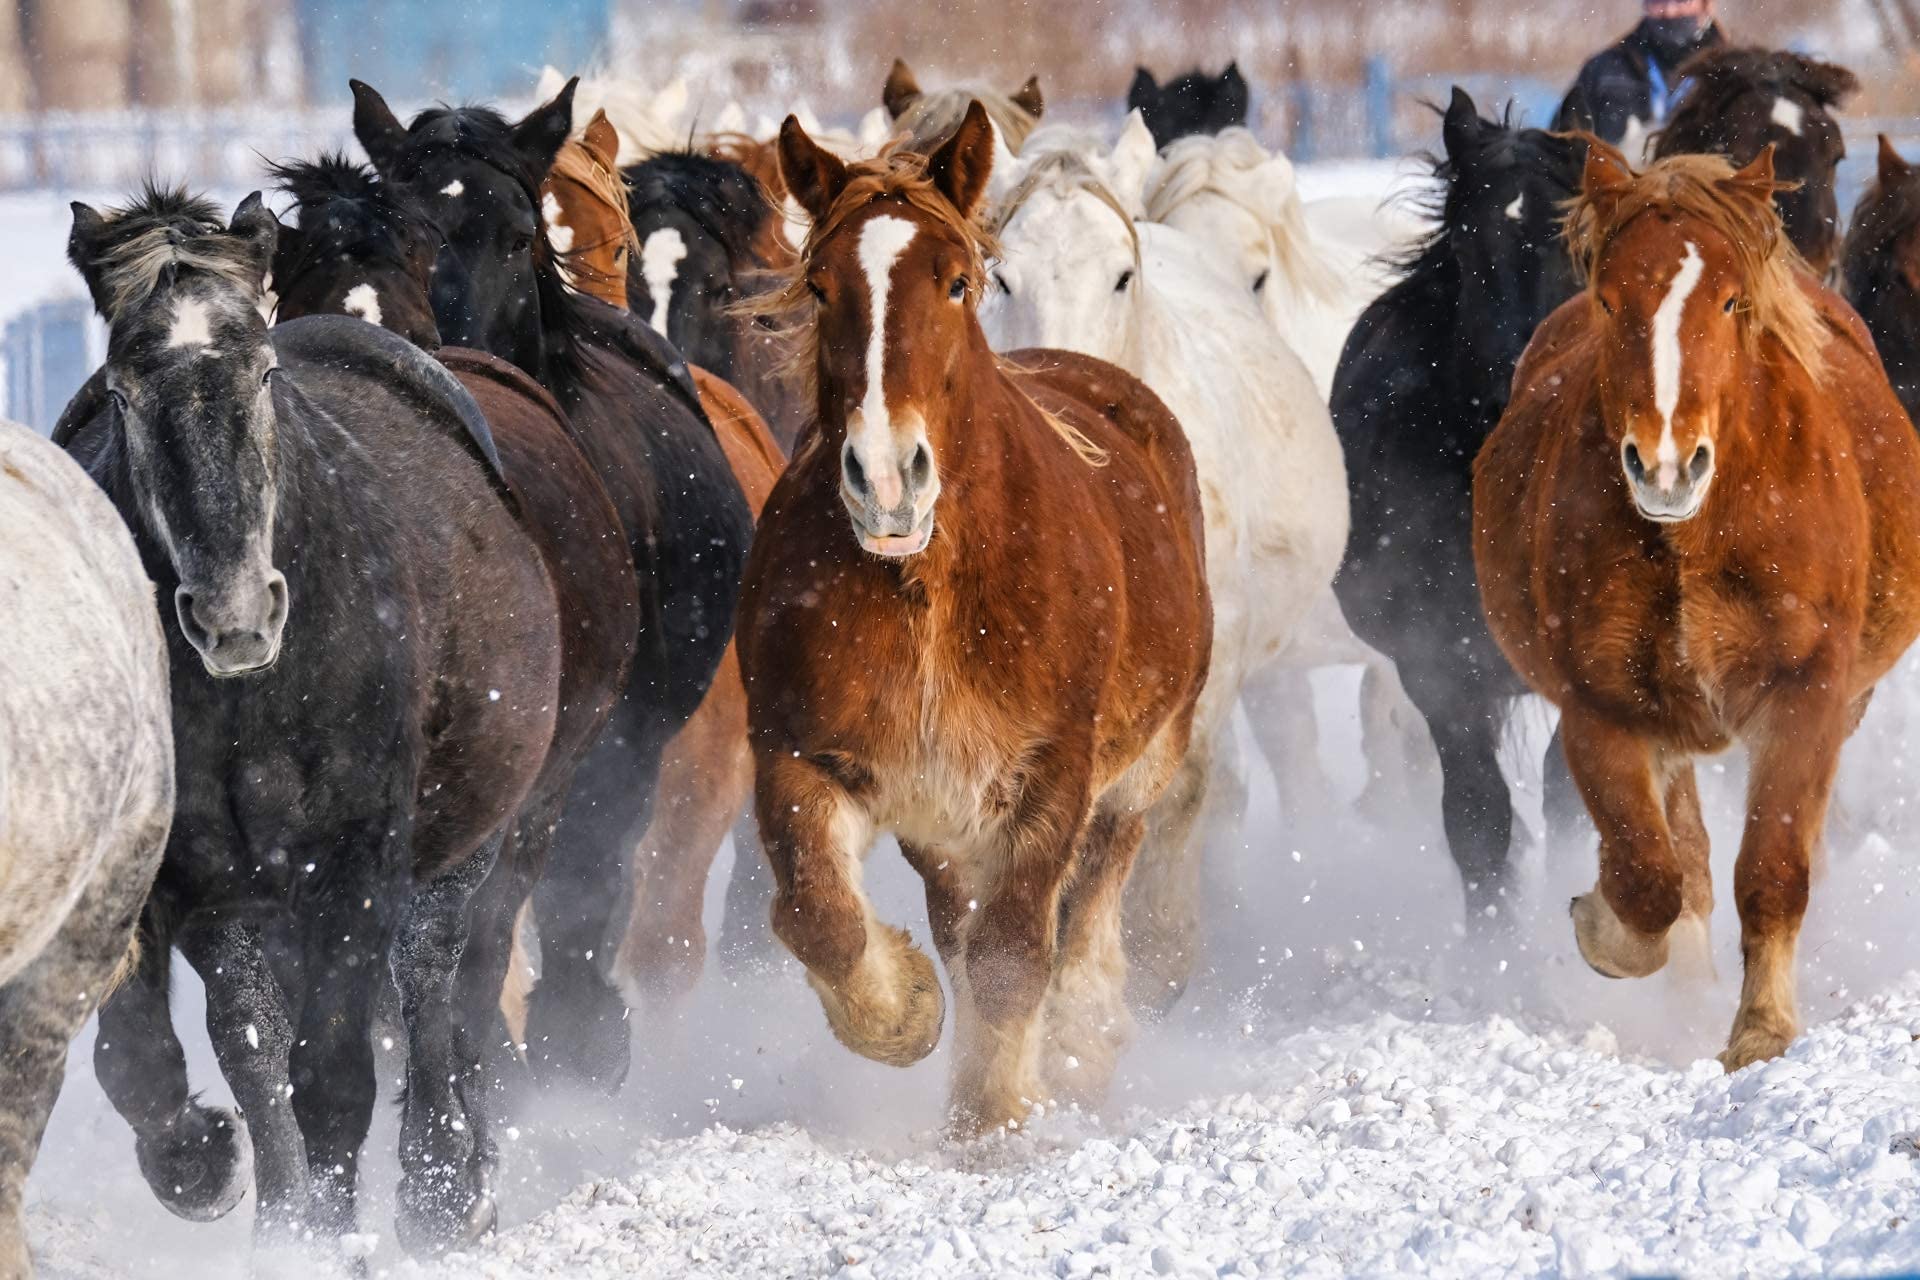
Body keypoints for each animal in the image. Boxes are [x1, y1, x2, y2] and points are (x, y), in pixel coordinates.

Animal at [59, 188, 563, 1257]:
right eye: (122, 393)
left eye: (261, 372)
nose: (235, 615)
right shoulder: (207, 888)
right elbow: (240, 1060)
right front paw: (252, 1199)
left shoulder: (353, 868)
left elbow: (333, 1075)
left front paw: (338, 1231)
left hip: (462, 845)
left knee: (429, 981)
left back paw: (445, 1185)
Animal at [742, 103, 1210, 1133]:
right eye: (822, 287)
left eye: (957, 281)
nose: (886, 479)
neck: (928, 592)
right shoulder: (800, 757)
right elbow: (819, 918)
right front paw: (904, 1008)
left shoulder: (1050, 776)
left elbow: (1012, 955)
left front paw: (996, 1119)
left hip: (1141, 763)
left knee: (1097, 887)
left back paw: (1084, 1030)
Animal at [1331, 89, 1590, 925]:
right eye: (1473, 250)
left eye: (1575, 247)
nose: (1524, 393)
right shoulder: (1440, 666)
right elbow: (1478, 822)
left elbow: (1571, 799)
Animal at [1474, 142, 1920, 1070]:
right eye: (1611, 298)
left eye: (1729, 300)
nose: (1667, 466)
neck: (1697, 537)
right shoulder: (1603, 707)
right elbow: (1651, 877)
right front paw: (1602, 928)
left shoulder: (1807, 694)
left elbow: (1775, 868)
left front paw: (1762, 1030)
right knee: (1683, 856)